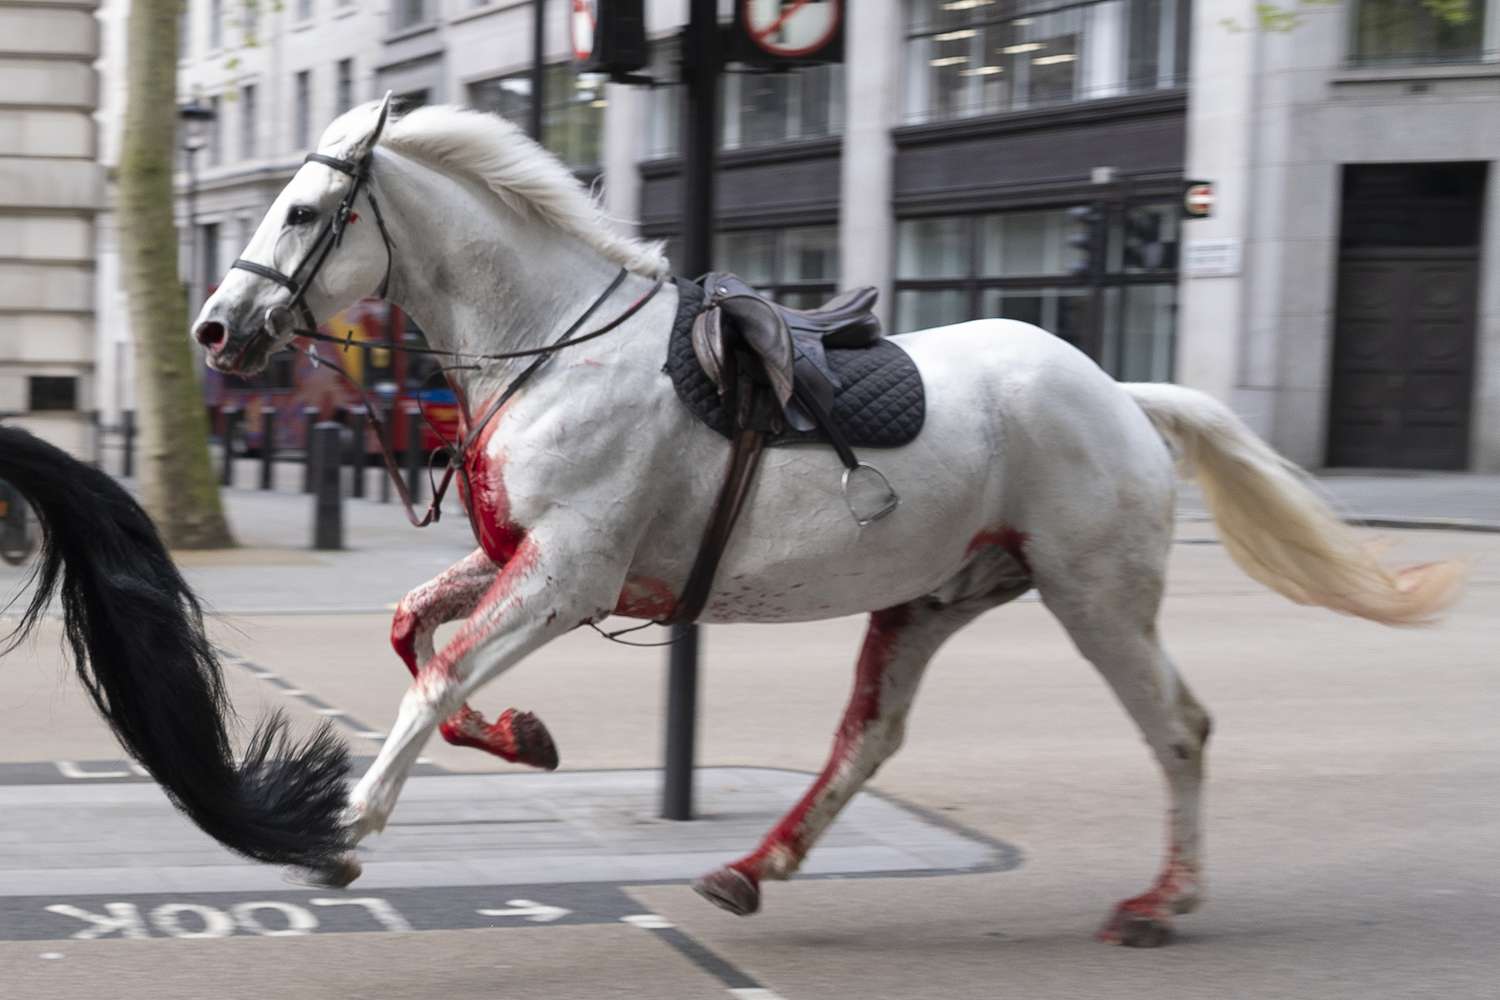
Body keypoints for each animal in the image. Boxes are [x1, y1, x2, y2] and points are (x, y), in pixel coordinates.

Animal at [184, 101, 1452, 947]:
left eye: (306, 210)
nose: (214, 329)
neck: (556, 349)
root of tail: (1123, 394)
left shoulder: (568, 572)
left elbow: (438, 671)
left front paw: (347, 827)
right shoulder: (524, 557)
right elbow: (413, 630)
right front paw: (520, 735)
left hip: (1096, 595)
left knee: (1179, 727)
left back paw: (1162, 899)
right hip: (933, 597)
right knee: (868, 739)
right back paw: (756, 865)